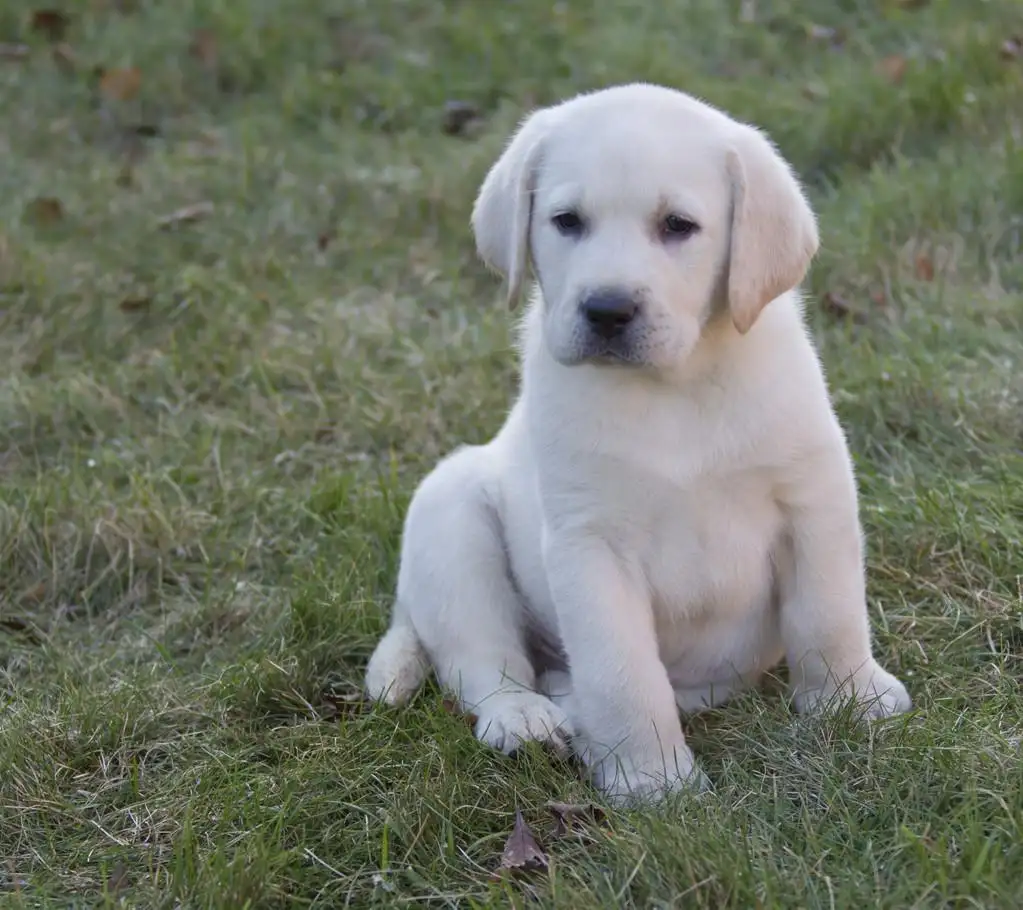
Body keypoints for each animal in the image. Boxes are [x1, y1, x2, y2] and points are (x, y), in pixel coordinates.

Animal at [362, 81, 912, 797]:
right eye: (567, 221)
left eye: (678, 225)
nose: (607, 309)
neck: (675, 388)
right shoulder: (592, 545)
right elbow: (624, 674)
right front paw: (652, 781)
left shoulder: (812, 498)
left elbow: (830, 612)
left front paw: (852, 699)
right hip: (449, 519)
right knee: (484, 662)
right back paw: (525, 719)